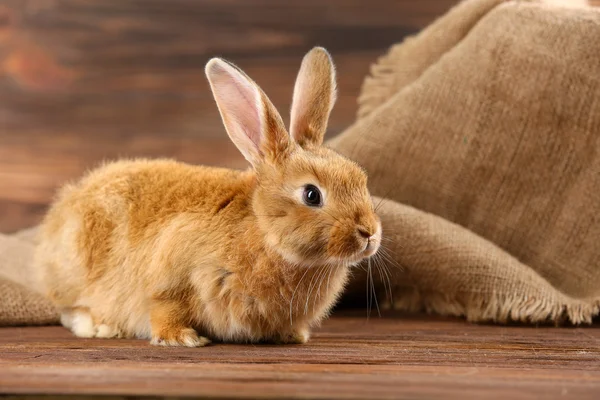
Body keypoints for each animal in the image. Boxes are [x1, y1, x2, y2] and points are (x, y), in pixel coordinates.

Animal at [34, 47, 380, 346]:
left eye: (361, 179)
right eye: (311, 194)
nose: (369, 234)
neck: (263, 234)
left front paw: (293, 336)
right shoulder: (170, 273)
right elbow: (164, 308)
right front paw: (182, 339)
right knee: (71, 309)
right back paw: (101, 327)